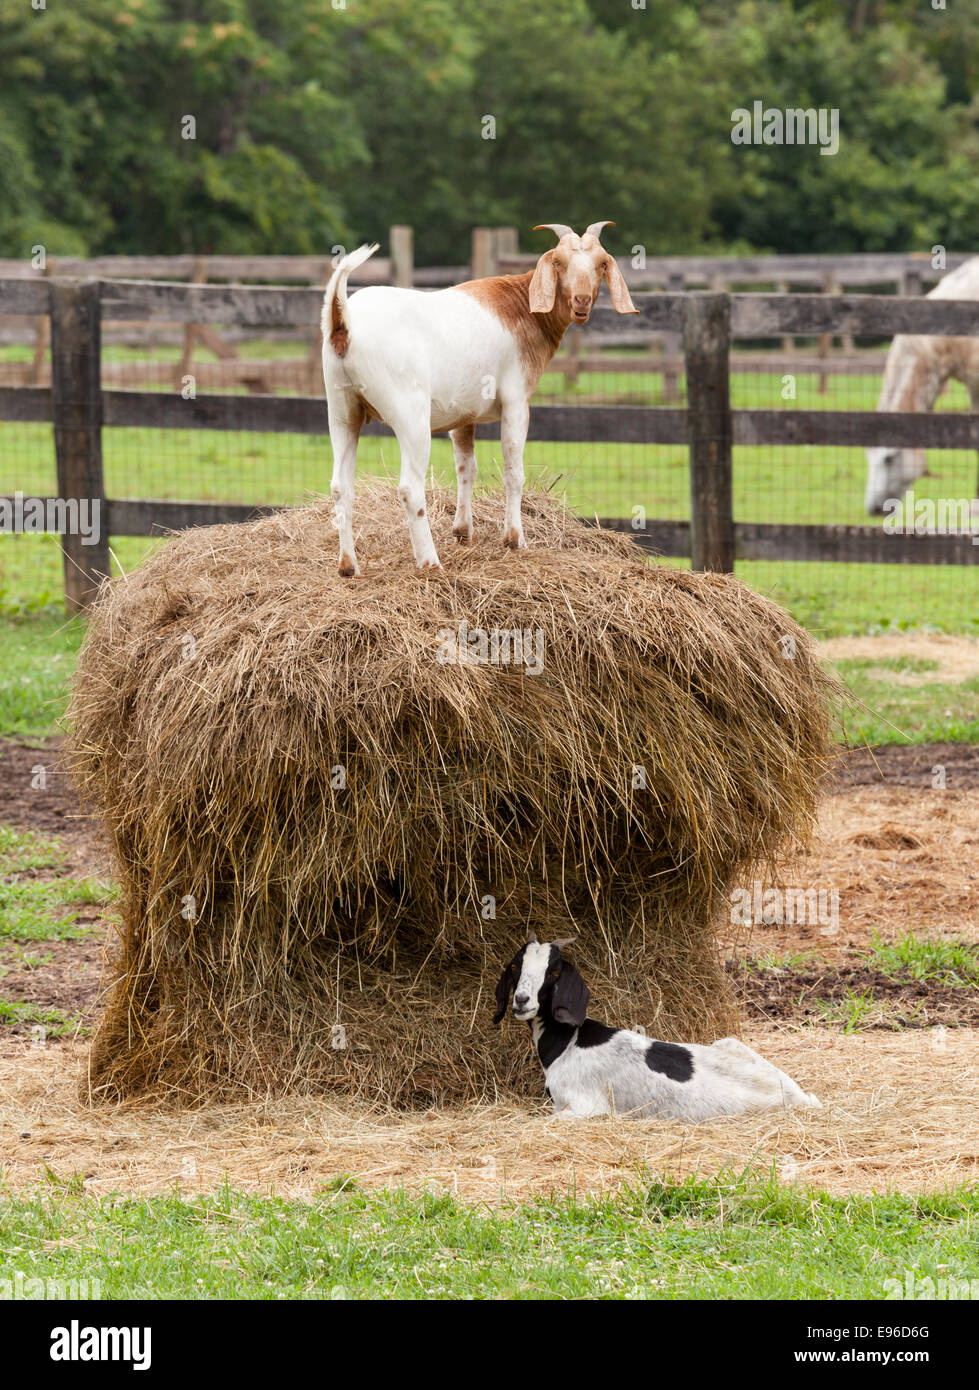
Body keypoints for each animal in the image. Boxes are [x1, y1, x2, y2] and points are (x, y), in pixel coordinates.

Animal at [492, 928, 823, 1123]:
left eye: (554, 973)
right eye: (515, 966)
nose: (521, 1000)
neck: (569, 1042)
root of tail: (800, 1097)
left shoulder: (581, 1107)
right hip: (728, 1042)